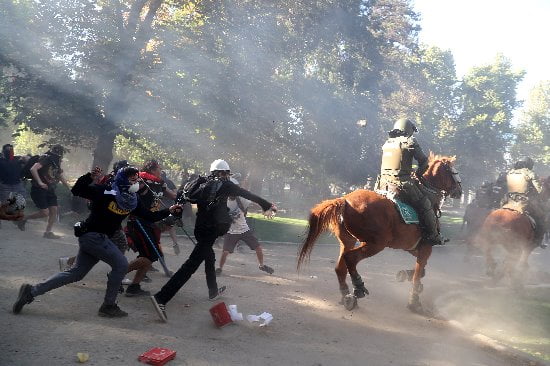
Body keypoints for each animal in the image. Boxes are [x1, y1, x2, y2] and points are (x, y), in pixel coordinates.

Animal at [300, 154, 464, 312]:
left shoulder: (411, 247)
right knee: (351, 258)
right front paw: (414, 302)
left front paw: (405, 275)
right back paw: (358, 288)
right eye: (454, 171)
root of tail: (344, 200)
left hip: (348, 241)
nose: (460, 191)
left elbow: (422, 270)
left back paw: (346, 296)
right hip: (376, 244)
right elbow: (418, 274)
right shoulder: (426, 246)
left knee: (340, 267)